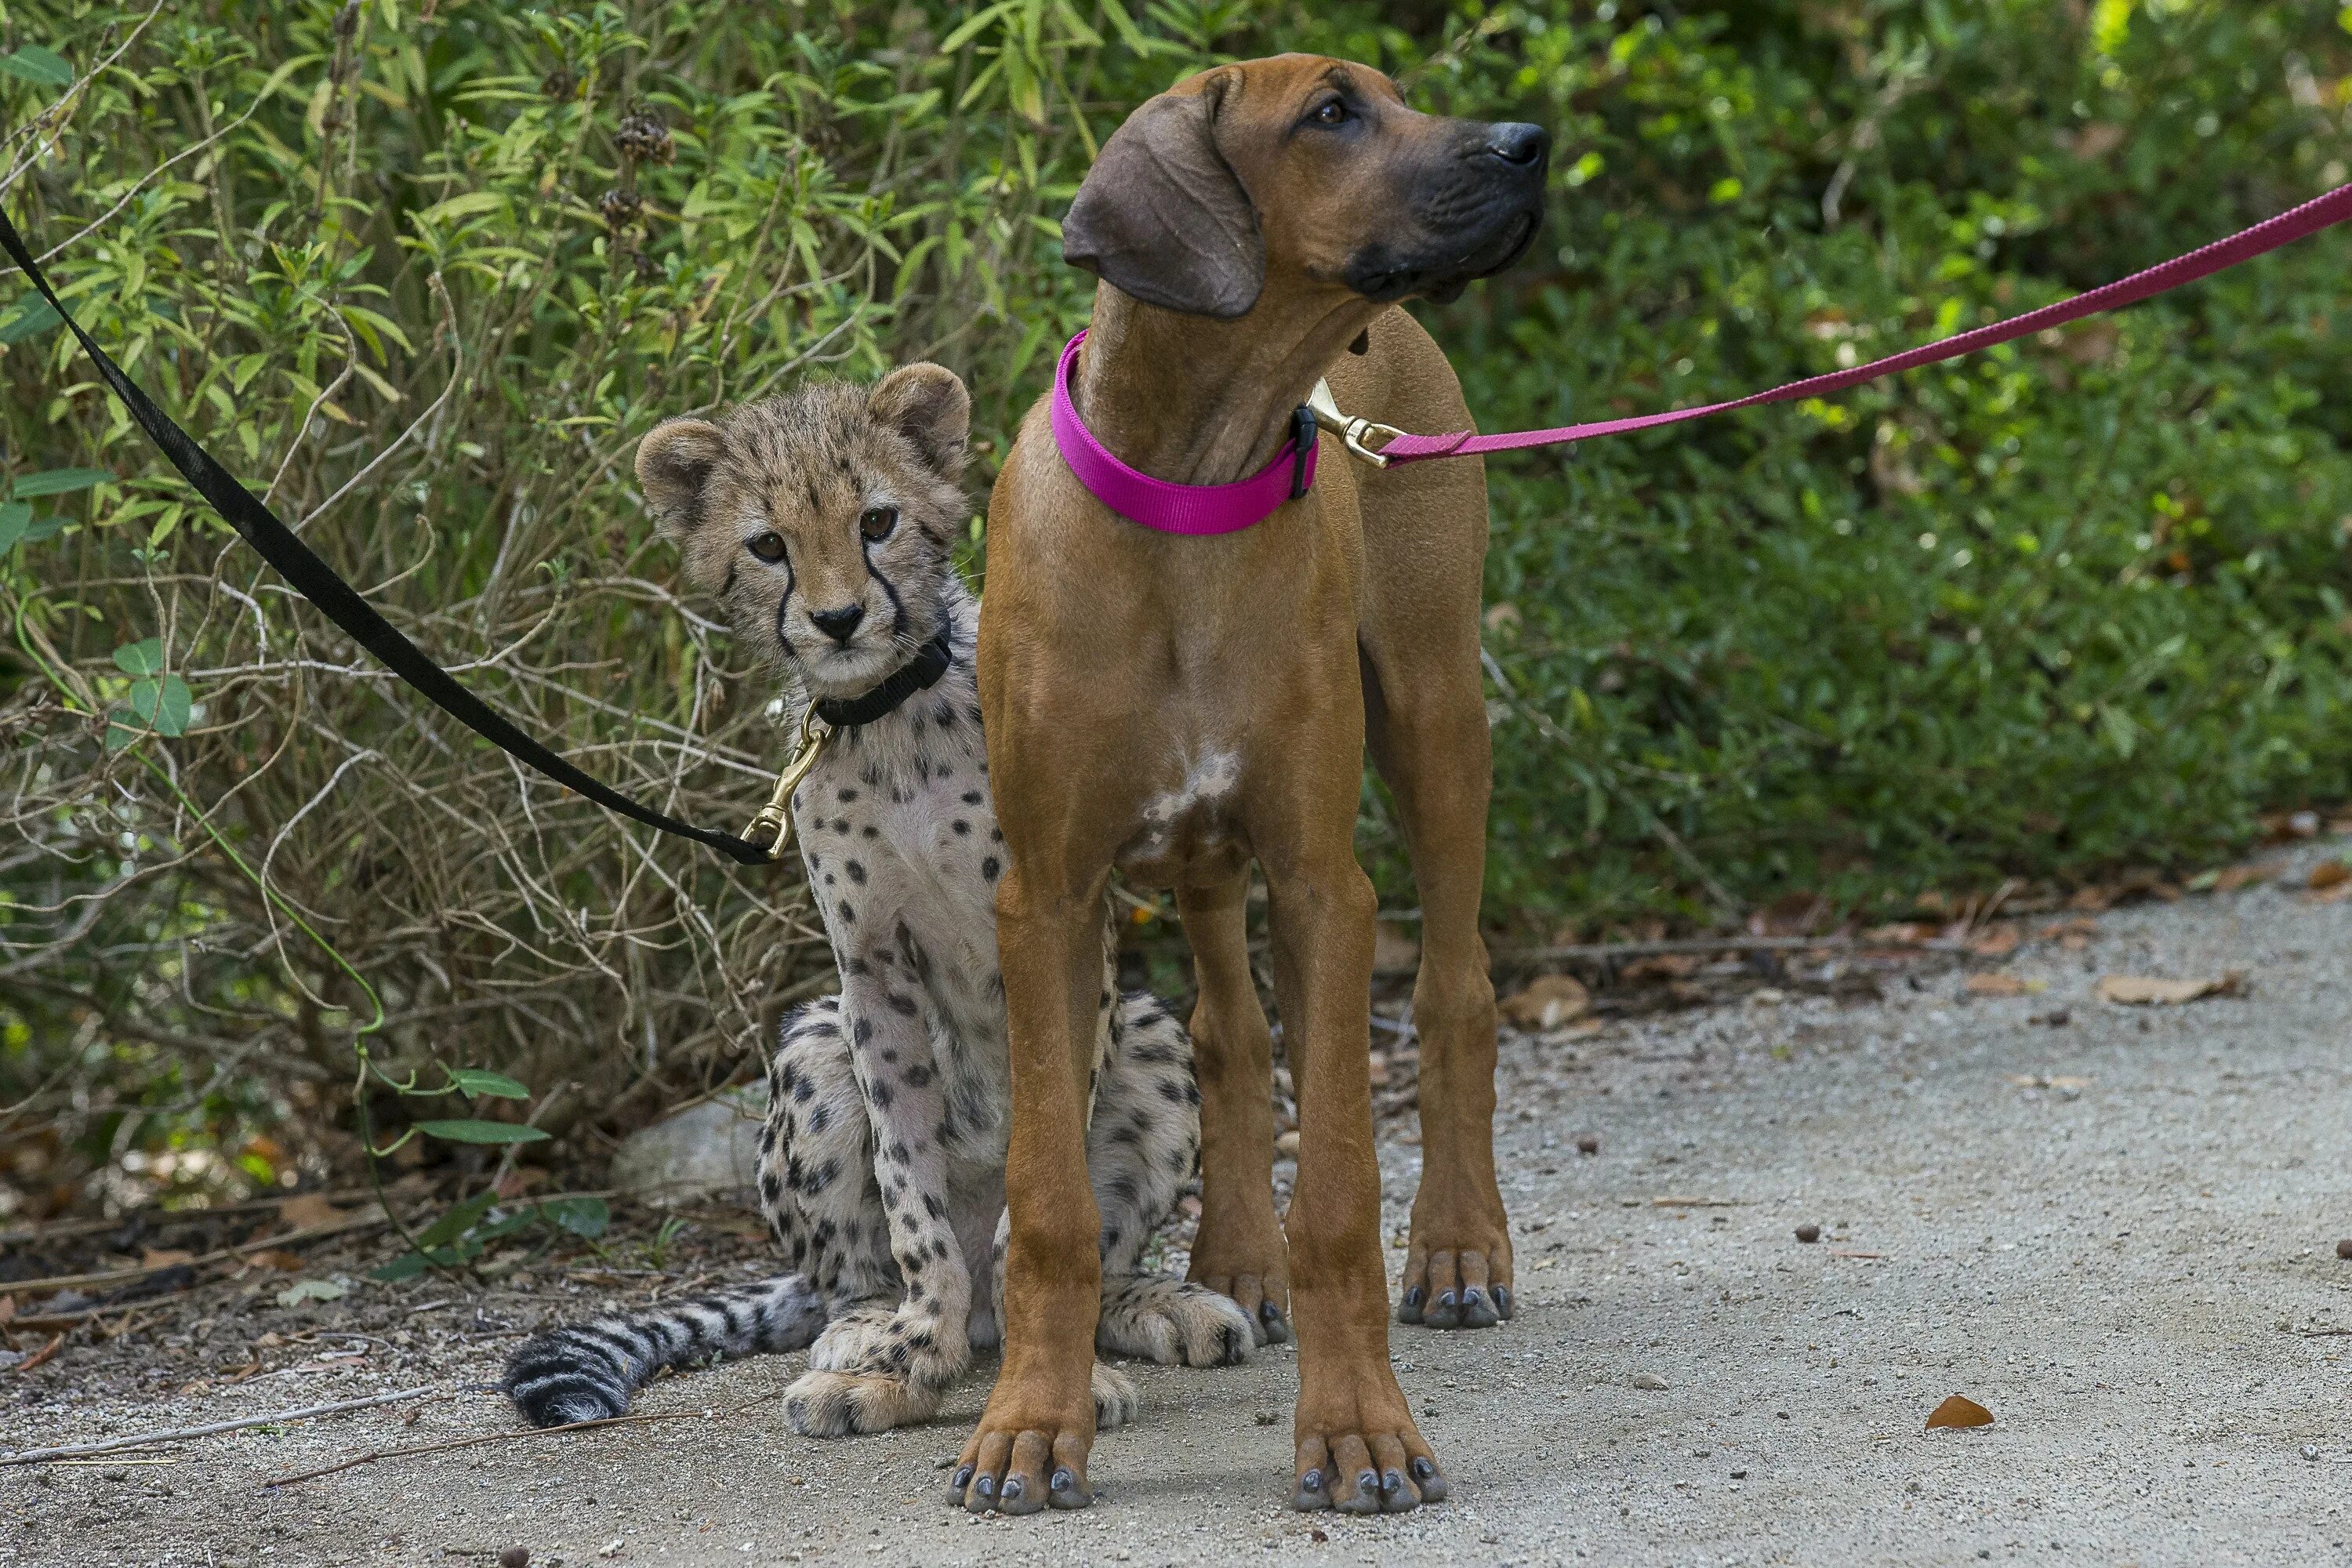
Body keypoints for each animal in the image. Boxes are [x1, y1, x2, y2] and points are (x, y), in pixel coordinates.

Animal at [955, 55, 1543, 1514]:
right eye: (1331, 113)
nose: (1530, 143)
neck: (1189, 497)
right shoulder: (1046, 899)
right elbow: (1049, 1201)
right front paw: (1029, 1425)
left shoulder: (1322, 883)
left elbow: (1335, 1193)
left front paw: (1360, 1432)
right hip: (1200, 857)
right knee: (1226, 1030)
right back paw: (1231, 1260)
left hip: (1436, 714)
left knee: (1456, 993)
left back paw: (1458, 1247)